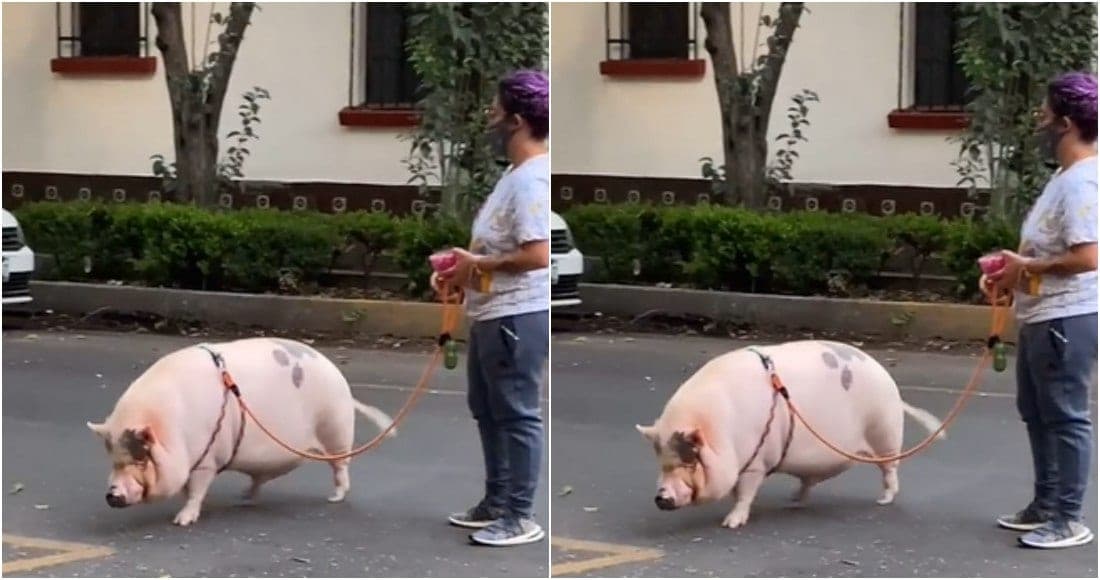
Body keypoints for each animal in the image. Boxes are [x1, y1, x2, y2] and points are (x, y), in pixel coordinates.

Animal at [85, 337, 395, 526]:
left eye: (140, 459)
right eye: (114, 460)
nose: (112, 495)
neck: (173, 431)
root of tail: (344, 385)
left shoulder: (207, 458)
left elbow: (196, 490)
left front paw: (181, 521)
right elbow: (188, 489)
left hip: (336, 429)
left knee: (340, 467)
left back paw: (334, 498)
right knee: (260, 480)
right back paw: (243, 499)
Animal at [635, 340, 945, 529]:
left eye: (688, 461)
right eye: (662, 462)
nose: (661, 497)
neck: (721, 434)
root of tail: (893, 388)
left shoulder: (756, 461)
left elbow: (745, 493)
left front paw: (730, 524)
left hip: (885, 433)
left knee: (890, 470)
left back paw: (883, 500)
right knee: (808, 483)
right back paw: (793, 501)